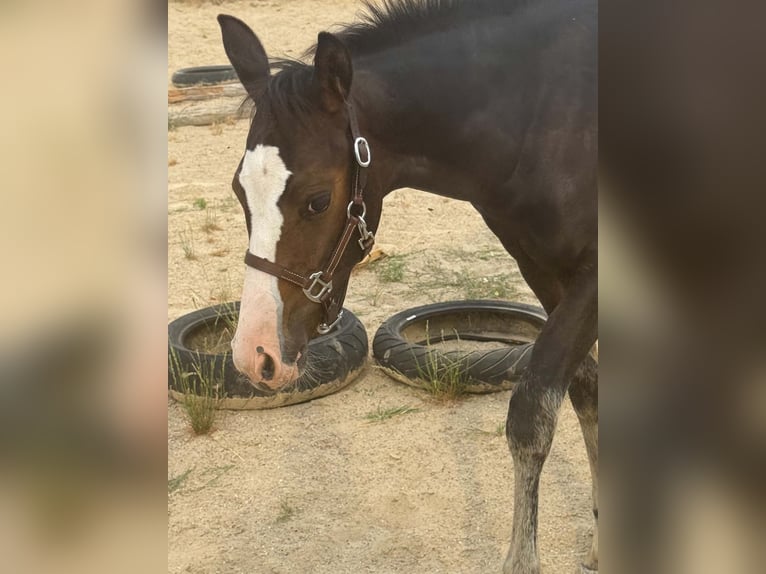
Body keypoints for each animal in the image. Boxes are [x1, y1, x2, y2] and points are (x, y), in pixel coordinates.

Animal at [217, 1, 597, 572]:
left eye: (317, 200)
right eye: (241, 191)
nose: (255, 355)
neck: (547, 110)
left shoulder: (593, 278)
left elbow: (532, 414)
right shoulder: (545, 271)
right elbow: (587, 393)